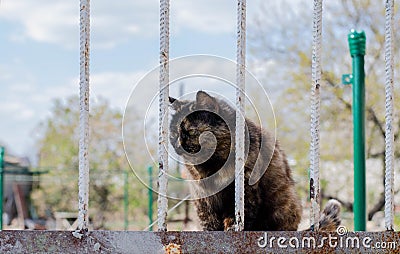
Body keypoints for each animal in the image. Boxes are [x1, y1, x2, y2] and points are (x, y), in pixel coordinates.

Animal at [169, 90, 340, 231]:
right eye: (172, 133)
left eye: (191, 131)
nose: (177, 145)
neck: (212, 166)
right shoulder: (203, 199)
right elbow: (209, 222)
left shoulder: (246, 188)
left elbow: (239, 213)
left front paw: (232, 228)